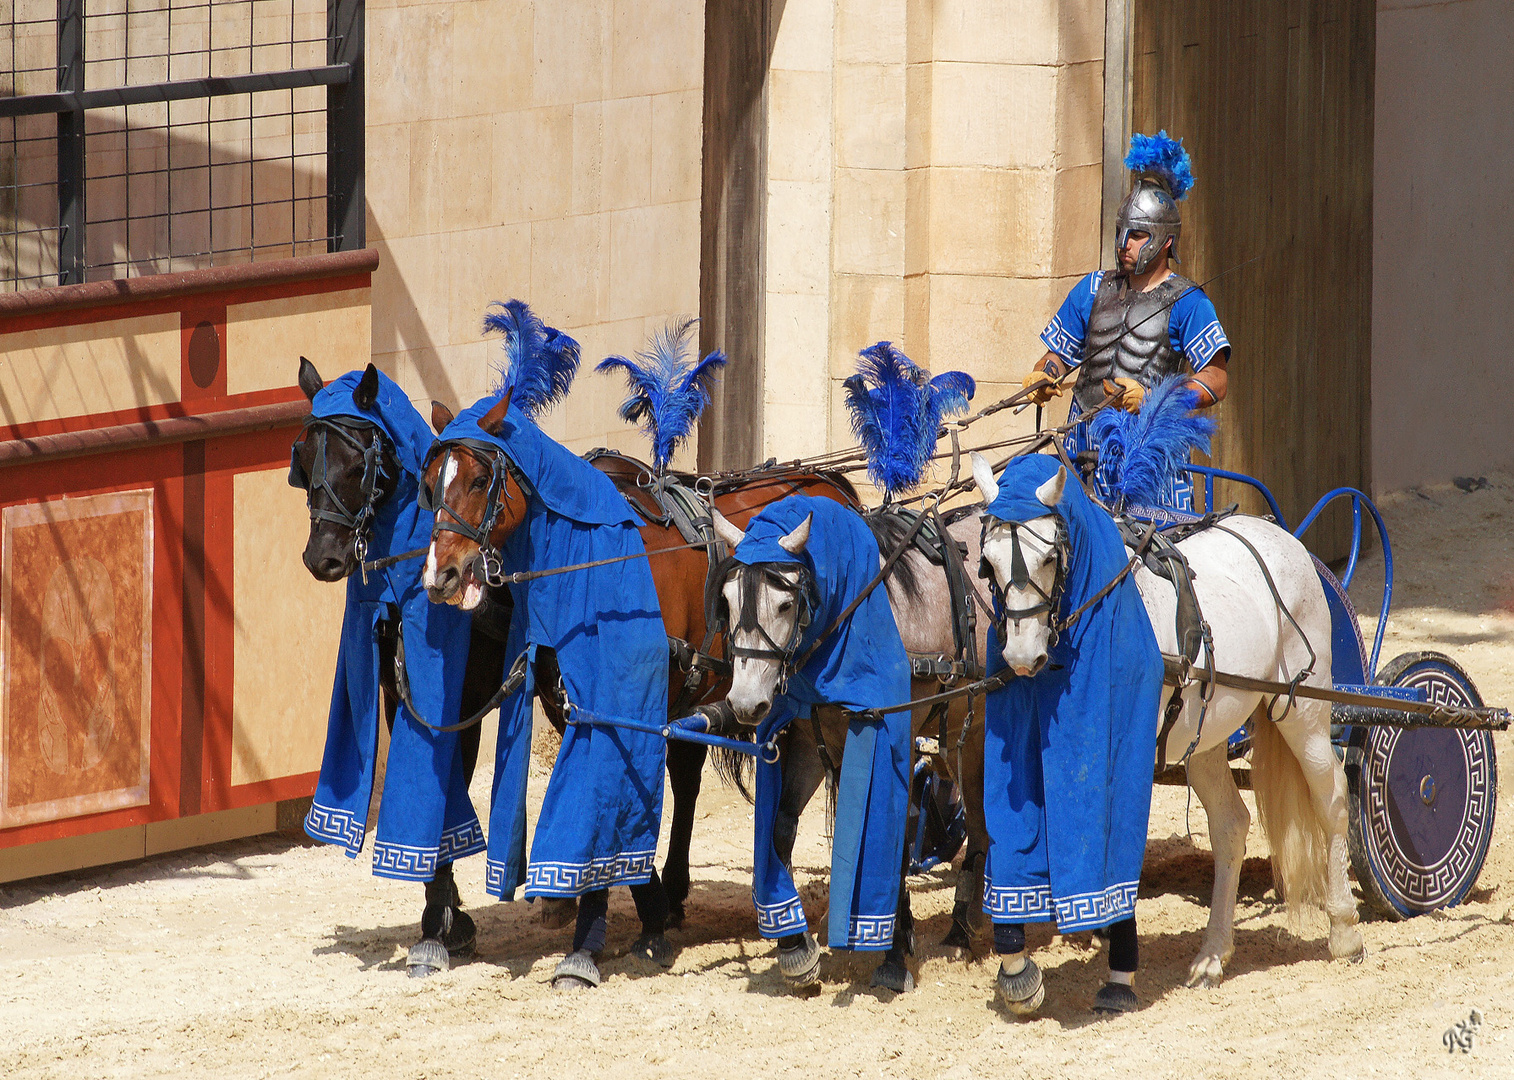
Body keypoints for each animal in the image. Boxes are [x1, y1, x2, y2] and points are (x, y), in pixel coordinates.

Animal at [975, 454, 1368, 987]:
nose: (1020, 656)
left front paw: (1118, 969)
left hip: (1303, 709)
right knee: (1230, 825)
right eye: (989, 563)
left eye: (1049, 559)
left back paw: (1344, 929)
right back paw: (1214, 952)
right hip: (1207, 733)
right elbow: (1019, 840)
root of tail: (1282, 536)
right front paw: (1018, 965)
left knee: (1331, 798)